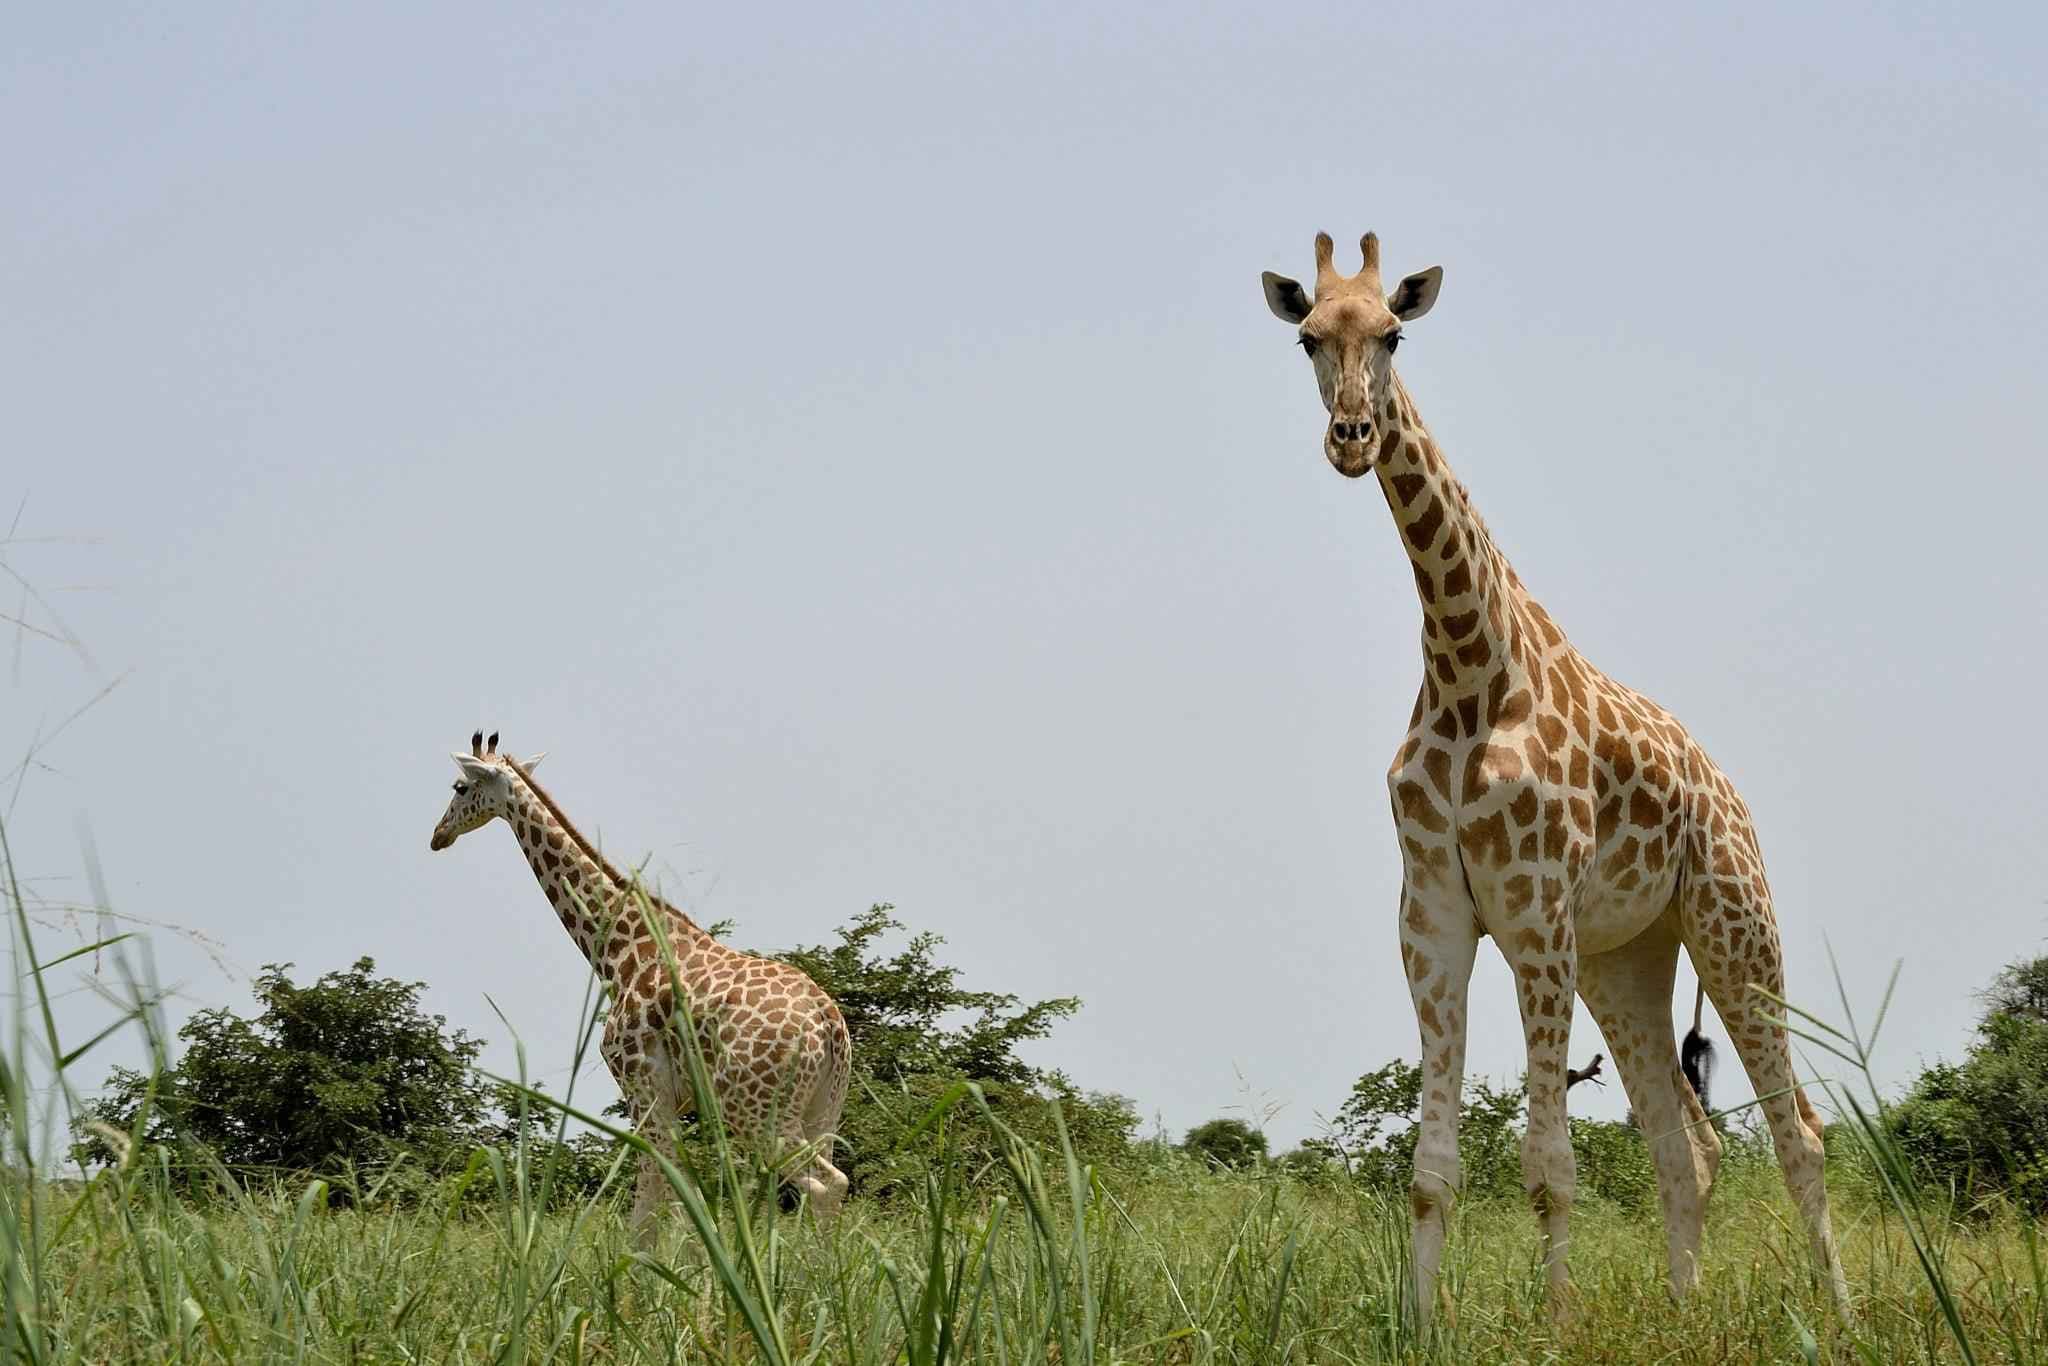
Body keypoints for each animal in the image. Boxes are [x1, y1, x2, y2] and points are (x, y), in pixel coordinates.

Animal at [428, 731, 851, 1228]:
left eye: (459, 787)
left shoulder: (642, 1089)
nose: (437, 835)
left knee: (825, 1183)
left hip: (756, 1108)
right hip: (824, 1108)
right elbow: (675, 1204)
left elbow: (654, 1202)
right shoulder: (673, 1102)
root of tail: (827, 1024)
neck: (620, 955)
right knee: (833, 1181)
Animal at [1259, 233, 1850, 1325]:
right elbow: (1432, 1170)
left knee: (1799, 1131)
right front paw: (1421, 1325)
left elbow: (1548, 1167)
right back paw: (1681, 1311)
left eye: (1395, 333)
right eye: (1309, 337)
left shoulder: (1534, 908)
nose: (1352, 438)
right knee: (1687, 1142)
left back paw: (1836, 1315)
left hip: (1733, 925)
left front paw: (1558, 1322)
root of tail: (1729, 791)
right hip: (1629, 956)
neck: (1466, 667)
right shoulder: (1433, 913)